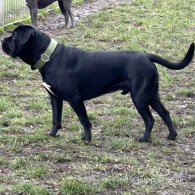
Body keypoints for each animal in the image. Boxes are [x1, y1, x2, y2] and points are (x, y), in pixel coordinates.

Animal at [1, 25, 195, 142]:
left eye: (14, 36)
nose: (3, 40)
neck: (48, 56)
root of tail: (146, 56)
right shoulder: (55, 98)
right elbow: (56, 119)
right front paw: (52, 135)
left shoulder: (75, 99)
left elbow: (84, 120)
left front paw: (86, 139)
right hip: (152, 95)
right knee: (165, 113)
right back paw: (172, 135)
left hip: (140, 97)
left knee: (150, 119)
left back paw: (145, 139)